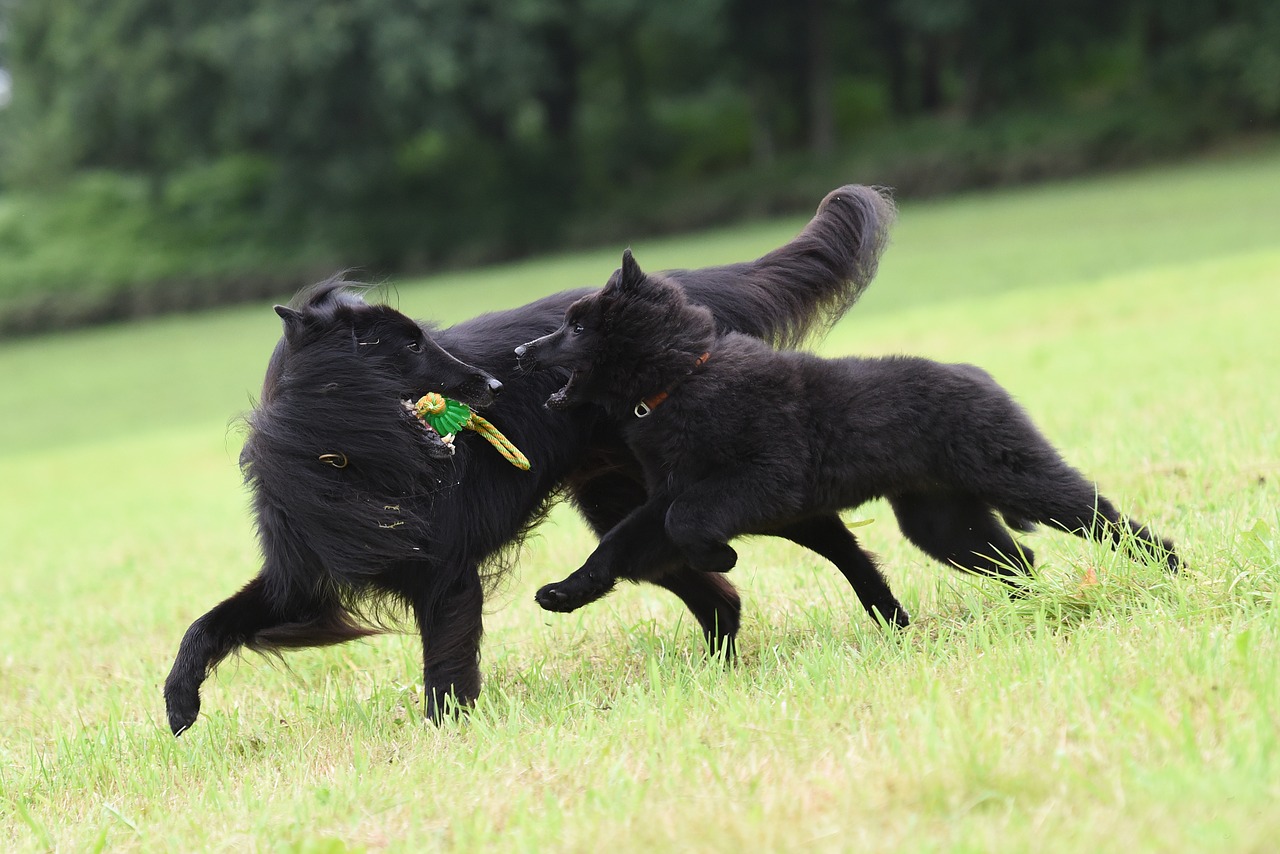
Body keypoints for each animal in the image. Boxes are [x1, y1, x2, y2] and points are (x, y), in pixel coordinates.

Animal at [162, 184, 901, 732]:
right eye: (406, 346)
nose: (493, 384)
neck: (343, 454)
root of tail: (687, 294)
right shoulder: (302, 578)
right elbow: (208, 624)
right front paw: (178, 701)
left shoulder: (447, 576)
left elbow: (445, 672)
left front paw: (446, 738)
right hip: (629, 507)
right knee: (714, 593)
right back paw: (713, 669)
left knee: (820, 535)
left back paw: (886, 617)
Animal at [514, 247, 1182, 622]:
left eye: (576, 327)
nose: (520, 353)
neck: (681, 380)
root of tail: (978, 376)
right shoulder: (667, 496)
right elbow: (621, 542)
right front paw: (568, 591)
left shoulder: (764, 478)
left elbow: (688, 525)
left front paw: (721, 555)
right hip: (944, 522)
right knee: (1020, 556)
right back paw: (1033, 609)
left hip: (1015, 475)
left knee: (1101, 517)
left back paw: (1172, 567)